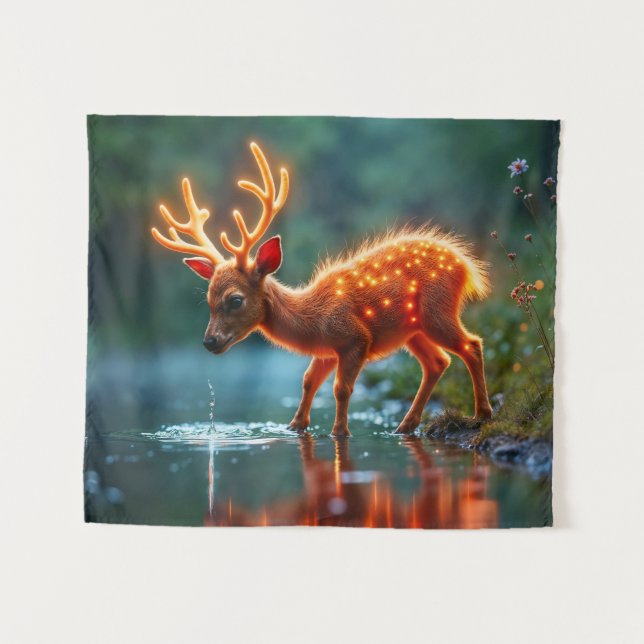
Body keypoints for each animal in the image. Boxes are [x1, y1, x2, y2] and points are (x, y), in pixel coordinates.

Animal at [151, 142, 493, 437]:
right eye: (208, 300)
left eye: (235, 300)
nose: (209, 341)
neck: (311, 318)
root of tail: (466, 266)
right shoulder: (327, 351)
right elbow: (308, 381)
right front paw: (295, 426)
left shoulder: (356, 337)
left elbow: (340, 388)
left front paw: (339, 432)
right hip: (412, 329)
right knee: (438, 362)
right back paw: (405, 426)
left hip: (438, 310)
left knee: (472, 345)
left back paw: (482, 414)